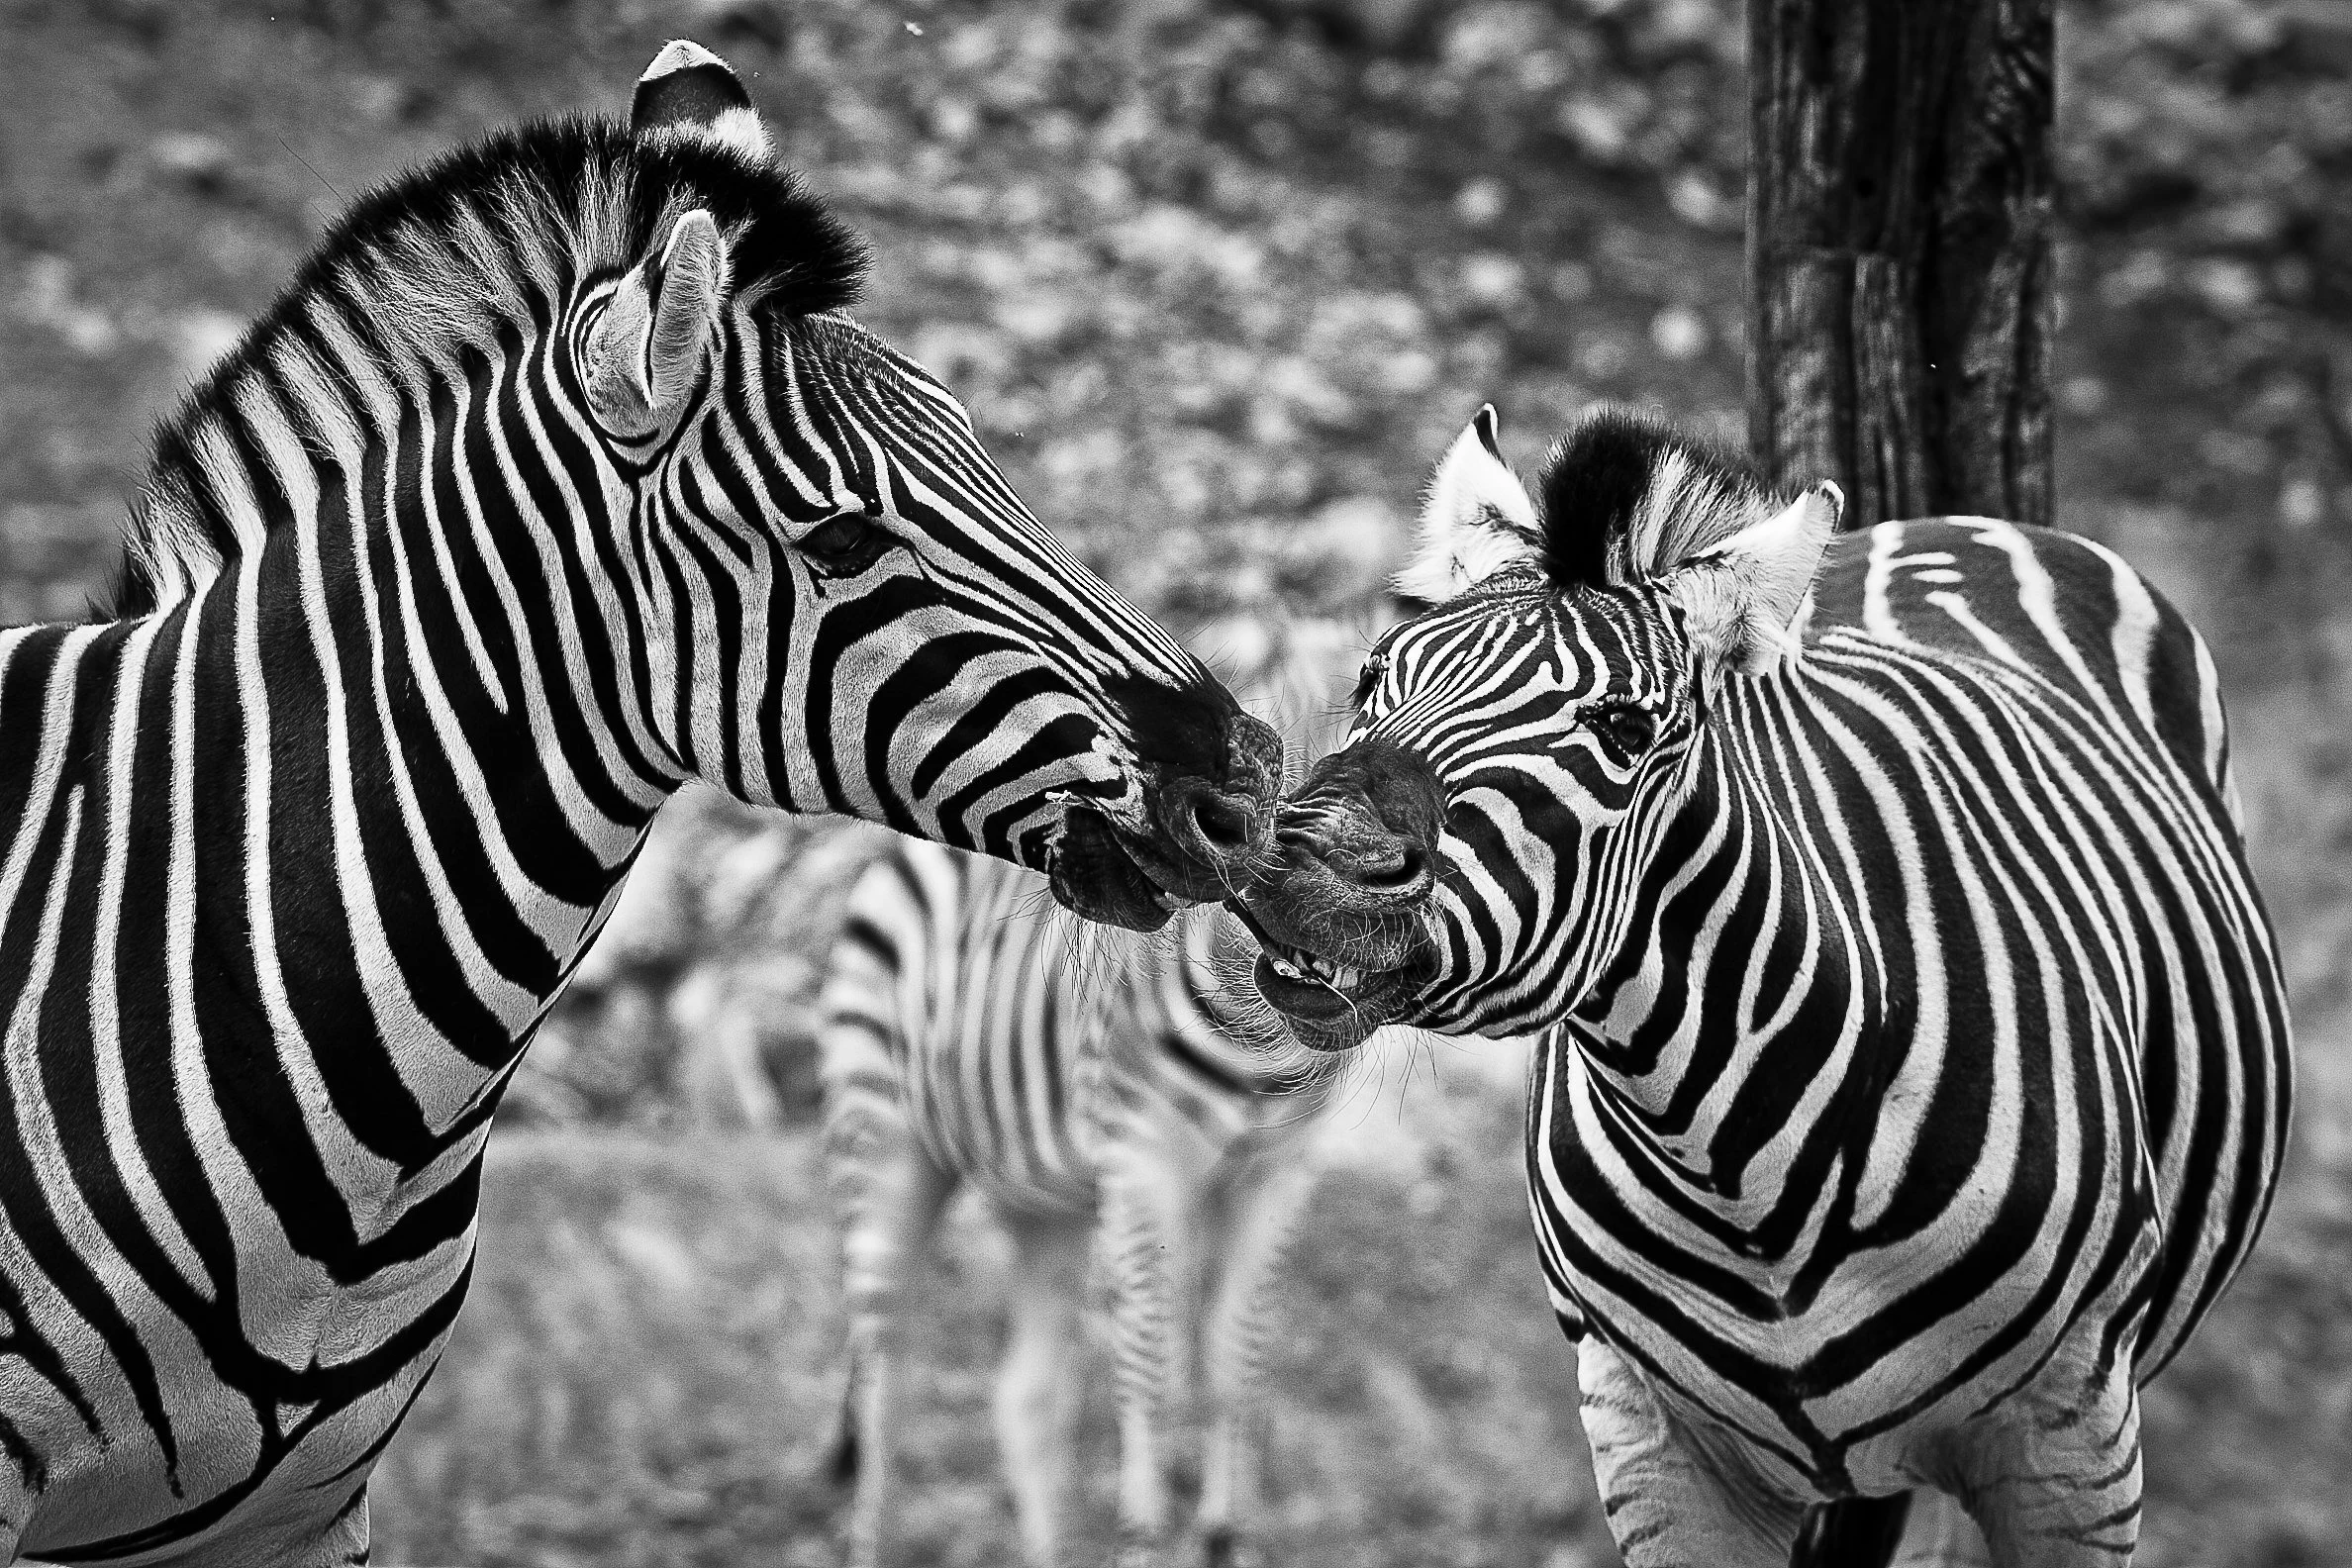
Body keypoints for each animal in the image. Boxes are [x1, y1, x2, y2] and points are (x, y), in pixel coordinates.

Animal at [818, 617, 1363, 1568]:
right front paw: (1147, 1536)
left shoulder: (1278, 1172)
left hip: (1042, 1198)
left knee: (1027, 1397)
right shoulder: (1143, 1162)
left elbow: (1236, 1361)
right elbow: (1150, 1369)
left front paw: (1227, 1534)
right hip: (883, 1137)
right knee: (880, 1378)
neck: (1260, 1045)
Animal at [1227, 405, 2292, 1567]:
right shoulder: (1646, 1431)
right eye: (1376, 677)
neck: (1735, 1168)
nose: (1297, 863)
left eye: (1625, 731)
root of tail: (1950, 524)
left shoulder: (2071, 1430)